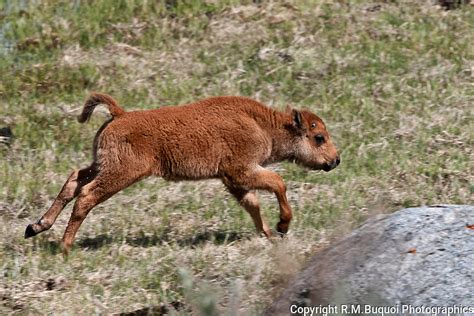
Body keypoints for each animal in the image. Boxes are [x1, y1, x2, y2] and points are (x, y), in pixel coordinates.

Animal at [24, 94, 338, 254]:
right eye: (319, 137)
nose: (335, 160)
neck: (262, 124)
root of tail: (120, 114)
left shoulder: (233, 181)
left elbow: (253, 204)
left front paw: (269, 235)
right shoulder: (240, 172)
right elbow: (278, 184)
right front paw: (282, 227)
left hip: (101, 165)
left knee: (73, 181)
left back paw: (36, 227)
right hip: (121, 173)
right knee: (86, 196)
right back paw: (65, 247)